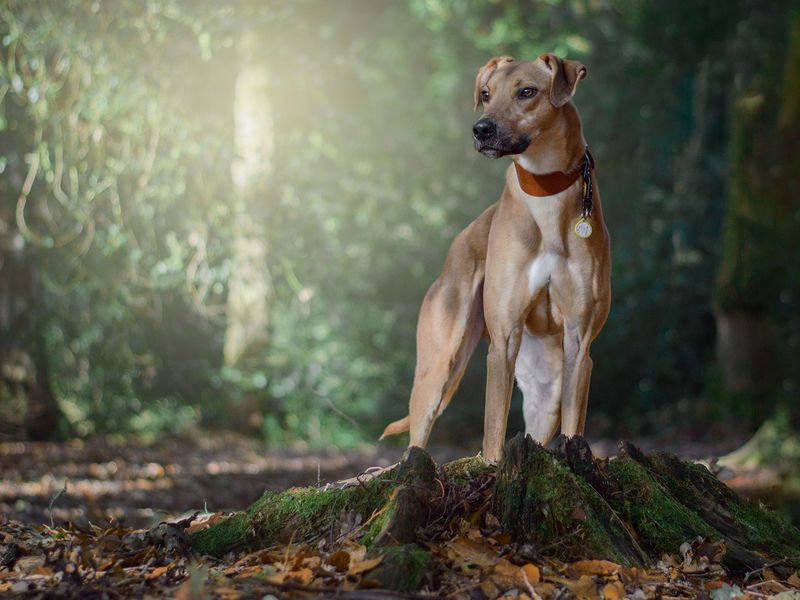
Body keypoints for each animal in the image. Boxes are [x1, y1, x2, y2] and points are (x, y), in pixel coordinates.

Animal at [382, 54, 612, 462]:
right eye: (487, 94)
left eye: (527, 92)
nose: (481, 130)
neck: (545, 192)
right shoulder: (502, 341)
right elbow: (492, 431)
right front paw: (492, 464)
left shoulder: (579, 343)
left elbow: (574, 427)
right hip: (438, 367)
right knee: (417, 438)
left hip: (546, 392)